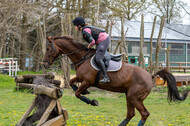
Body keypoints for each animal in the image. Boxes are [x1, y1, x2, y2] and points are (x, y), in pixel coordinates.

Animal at [42, 35, 189, 126]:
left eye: (48, 48)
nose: (44, 64)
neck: (82, 57)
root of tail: (150, 76)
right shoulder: (81, 78)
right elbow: (72, 83)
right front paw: (86, 93)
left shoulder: (88, 81)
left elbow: (77, 93)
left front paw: (92, 101)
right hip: (129, 97)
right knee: (131, 114)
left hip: (134, 97)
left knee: (144, 114)